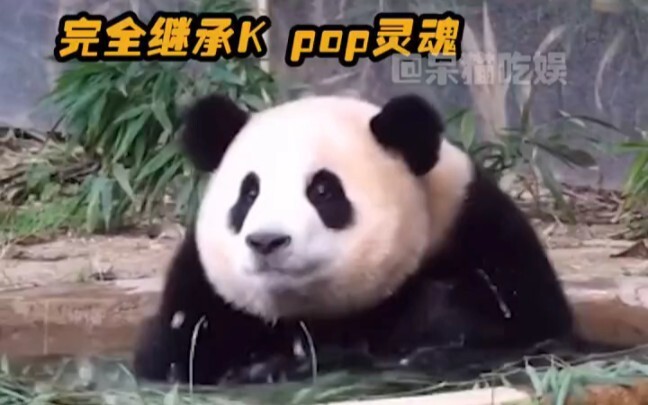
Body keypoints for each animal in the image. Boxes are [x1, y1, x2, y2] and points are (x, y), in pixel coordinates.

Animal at [132, 91, 575, 385]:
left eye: (323, 191)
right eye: (249, 192)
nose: (267, 241)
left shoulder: (483, 241)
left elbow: (517, 336)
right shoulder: (204, 295)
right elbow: (179, 355)